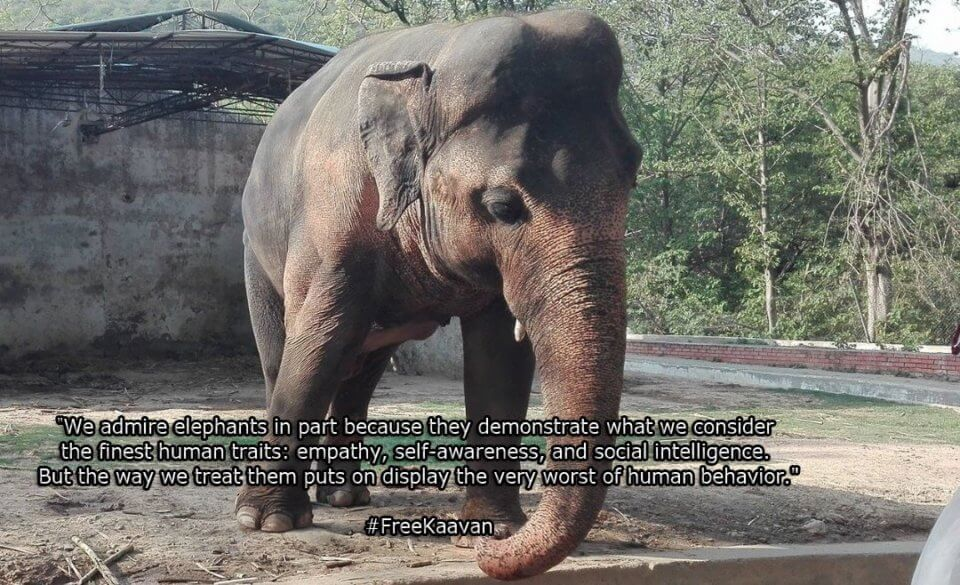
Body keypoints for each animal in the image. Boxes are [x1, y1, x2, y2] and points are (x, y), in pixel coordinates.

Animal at [237, 8, 641, 581]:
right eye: (501, 206)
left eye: (633, 177)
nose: (486, 559)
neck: (437, 60)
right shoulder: (329, 214)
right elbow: (318, 340)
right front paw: (266, 523)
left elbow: (499, 359)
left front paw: (494, 531)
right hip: (255, 247)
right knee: (287, 357)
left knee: (361, 371)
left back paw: (346, 495)